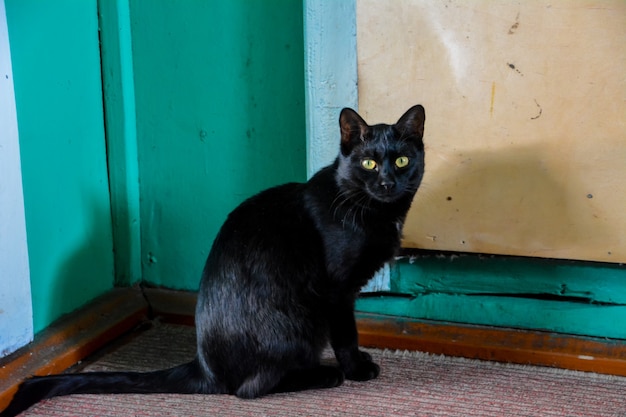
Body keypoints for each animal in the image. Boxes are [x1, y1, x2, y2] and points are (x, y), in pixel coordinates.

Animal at [1, 105, 424, 416]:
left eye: (402, 161)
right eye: (369, 164)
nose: (387, 182)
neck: (373, 211)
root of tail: (205, 366)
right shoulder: (338, 292)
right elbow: (347, 335)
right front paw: (357, 369)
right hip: (303, 321)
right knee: (248, 389)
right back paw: (324, 375)